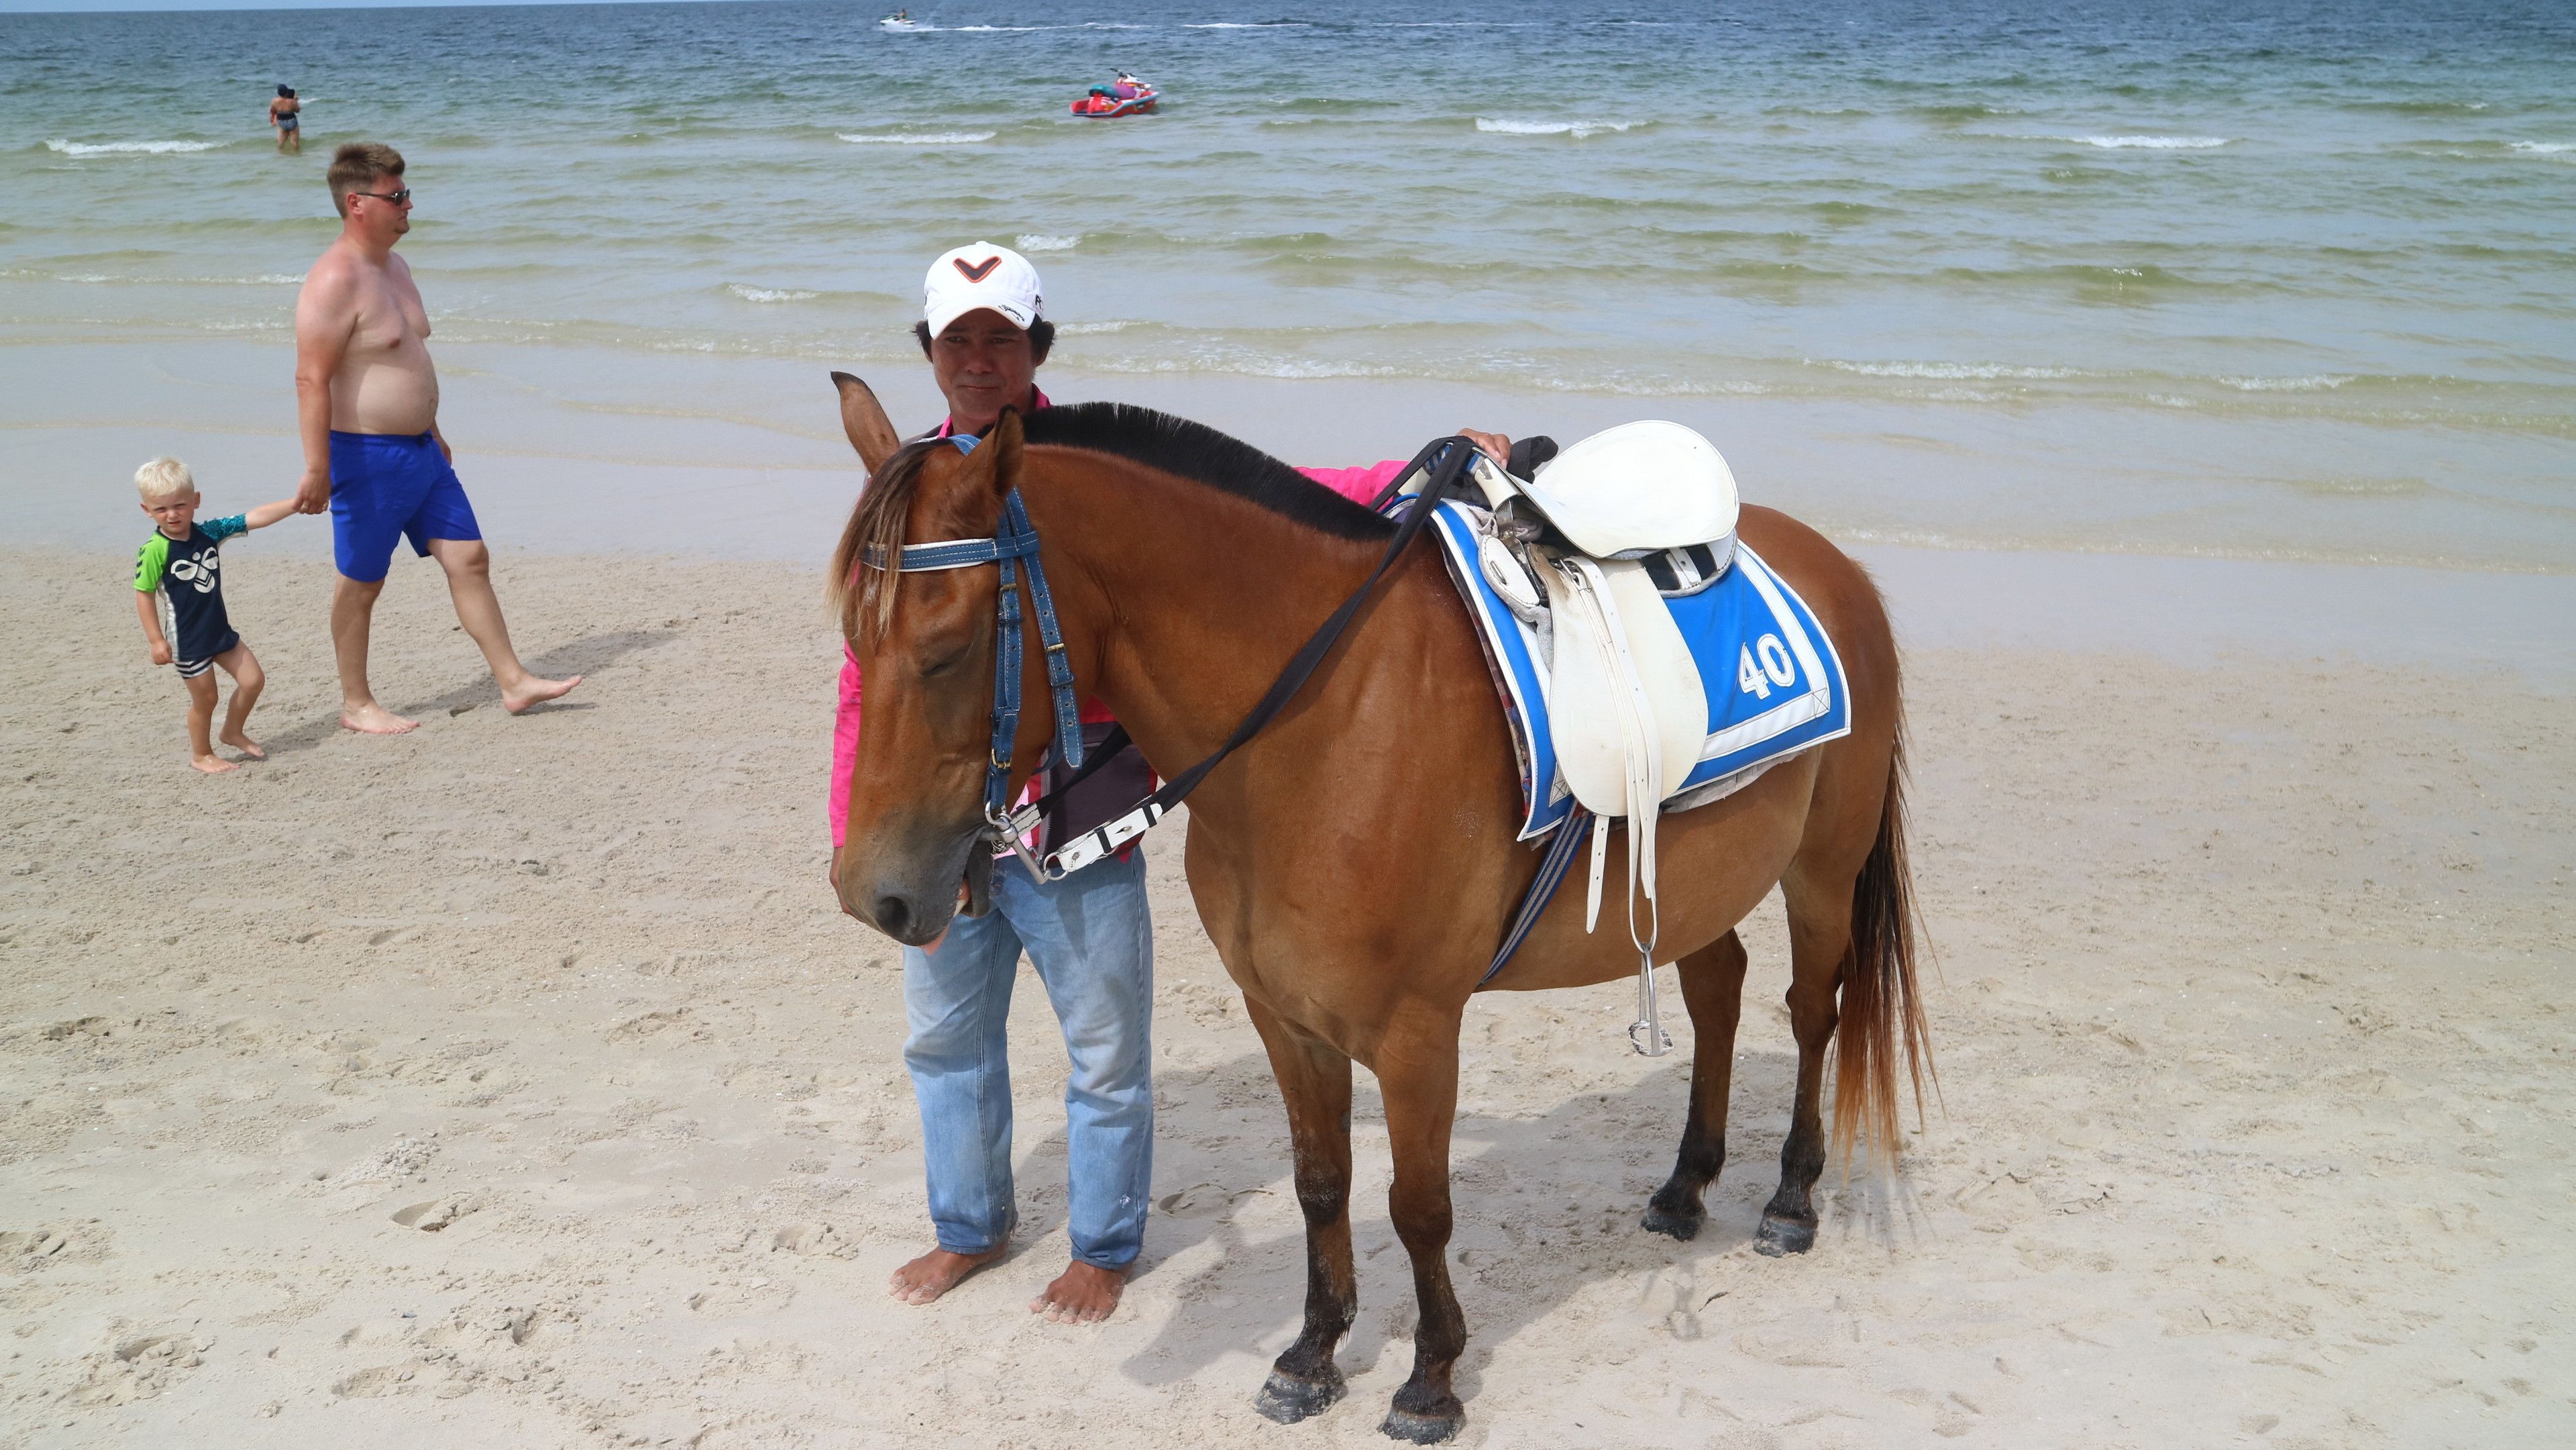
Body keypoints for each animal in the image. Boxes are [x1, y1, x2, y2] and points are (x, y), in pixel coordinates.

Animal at [824, 379, 1930, 1443]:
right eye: (852, 640)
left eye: (946, 649)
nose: (874, 891)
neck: (1326, 728)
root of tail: (1837, 567)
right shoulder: (1285, 1017)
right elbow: (1323, 1183)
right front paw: (1312, 1355)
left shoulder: (1416, 1031)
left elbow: (1419, 1205)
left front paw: (1430, 1380)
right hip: (1694, 882)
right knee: (1717, 993)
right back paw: (1685, 1186)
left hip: (1823, 872)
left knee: (1813, 1012)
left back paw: (1790, 1197)